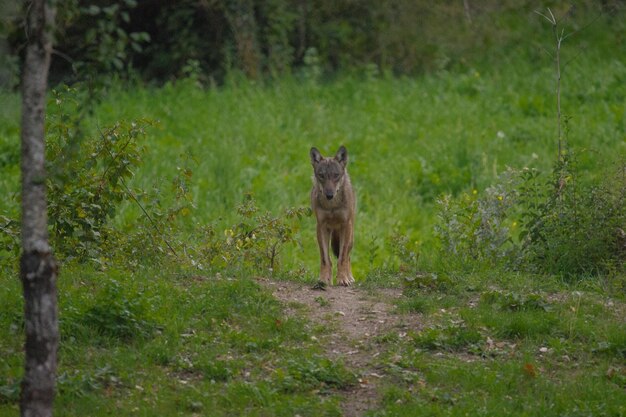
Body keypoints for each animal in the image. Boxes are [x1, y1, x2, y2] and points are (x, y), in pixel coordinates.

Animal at [308, 144, 354, 286]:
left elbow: (342, 258)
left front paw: (343, 279)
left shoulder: (345, 225)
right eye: (321, 175)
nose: (329, 195)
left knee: (348, 256)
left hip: (350, 236)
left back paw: (350, 277)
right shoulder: (321, 226)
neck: (332, 206)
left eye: (336, 175)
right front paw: (324, 280)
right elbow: (325, 259)